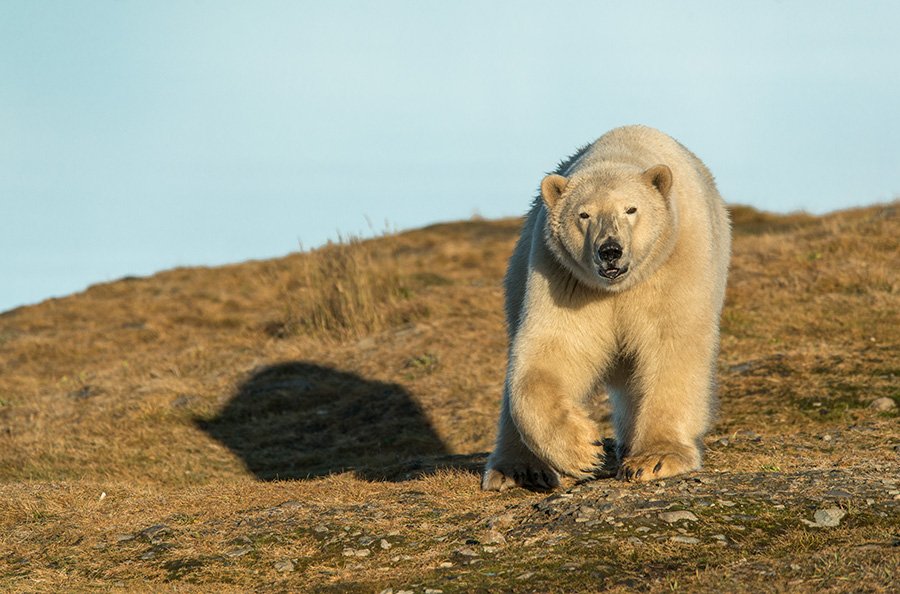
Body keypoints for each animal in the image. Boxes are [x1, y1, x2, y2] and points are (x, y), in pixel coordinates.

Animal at [482, 125, 728, 490]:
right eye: (584, 215)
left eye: (631, 209)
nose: (610, 250)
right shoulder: (566, 278)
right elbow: (554, 350)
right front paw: (585, 450)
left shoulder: (676, 261)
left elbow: (672, 344)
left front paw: (655, 459)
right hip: (520, 268)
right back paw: (515, 468)